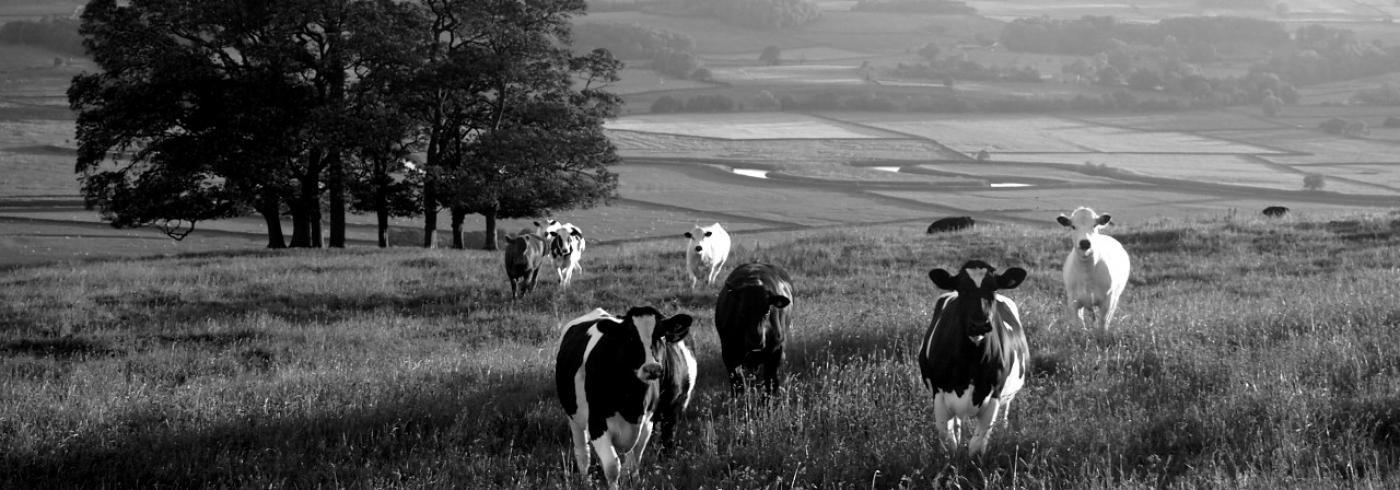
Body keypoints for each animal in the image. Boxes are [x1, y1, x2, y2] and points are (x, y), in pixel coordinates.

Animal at [551, 306, 694, 487]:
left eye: (660, 335)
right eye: (630, 336)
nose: (652, 368)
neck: (632, 402)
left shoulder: (648, 423)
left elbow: (633, 462)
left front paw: (634, 483)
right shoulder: (596, 423)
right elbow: (612, 466)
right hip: (574, 418)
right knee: (583, 453)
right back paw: (585, 482)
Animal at [716, 260, 795, 394]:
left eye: (767, 311)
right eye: (742, 311)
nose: (756, 341)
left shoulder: (776, 352)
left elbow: (771, 384)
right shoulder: (729, 354)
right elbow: (738, 385)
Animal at [918, 260, 1030, 456]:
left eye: (993, 289)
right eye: (962, 289)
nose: (979, 324)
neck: (969, 361)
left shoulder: (994, 395)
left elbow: (977, 446)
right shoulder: (939, 395)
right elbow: (949, 443)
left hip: (1008, 396)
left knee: (1006, 411)